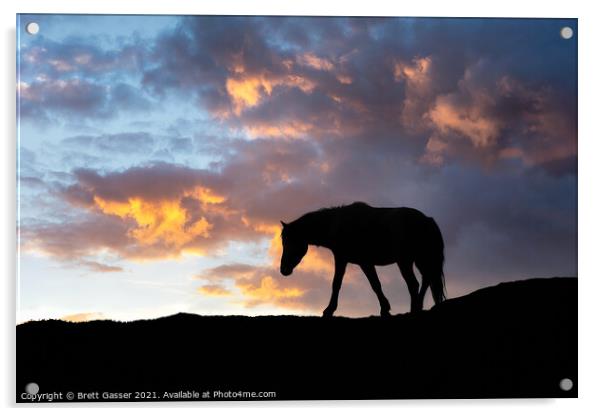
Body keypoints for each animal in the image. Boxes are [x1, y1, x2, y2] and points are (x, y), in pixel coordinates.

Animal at [278, 202, 442, 316]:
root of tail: (427, 219)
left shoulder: (346, 259)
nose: (283, 269)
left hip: (405, 261)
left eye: (289, 241)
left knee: (414, 284)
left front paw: (329, 310)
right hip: (420, 259)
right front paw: (385, 308)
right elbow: (375, 284)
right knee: (427, 279)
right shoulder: (362, 263)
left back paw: (414, 310)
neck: (338, 224)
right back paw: (419, 306)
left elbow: (337, 284)